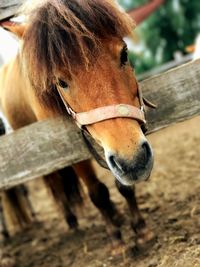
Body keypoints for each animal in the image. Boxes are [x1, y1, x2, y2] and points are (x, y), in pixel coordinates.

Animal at [0, 0, 153, 247]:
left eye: (124, 54)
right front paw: (116, 238)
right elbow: (97, 193)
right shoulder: (72, 147)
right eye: (60, 82)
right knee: (56, 185)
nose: (134, 162)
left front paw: (140, 227)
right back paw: (71, 220)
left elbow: (123, 186)